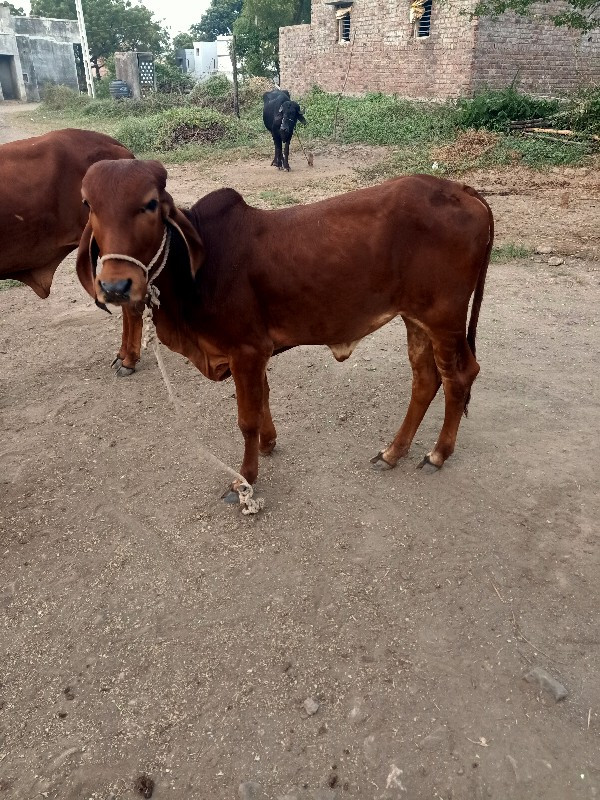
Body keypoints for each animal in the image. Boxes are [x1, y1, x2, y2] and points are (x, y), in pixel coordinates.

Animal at [75, 161, 494, 500]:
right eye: (89, 206)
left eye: (149, 204)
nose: (116, 286)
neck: (195, 269)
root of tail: (464, 191)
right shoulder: (254, 353)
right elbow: (262, 400)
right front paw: (268, 443)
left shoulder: (246, 350)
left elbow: (246, 419)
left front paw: (245, 480)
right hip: (416, 318)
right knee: (426, 379)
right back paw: (393, 451)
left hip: (444, 318)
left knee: (459, 377)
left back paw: (437, 454)